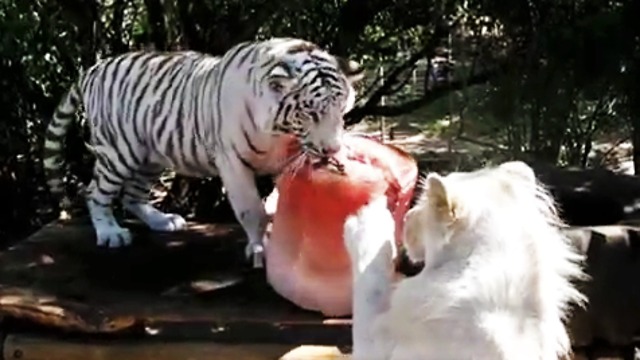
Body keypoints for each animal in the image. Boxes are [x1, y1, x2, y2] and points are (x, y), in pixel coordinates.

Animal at [43, 37, 364, 268]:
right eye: (310, 113)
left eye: (342, 110)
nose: (332, 148)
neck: (280, 134)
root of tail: (94, 69)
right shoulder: (232, 161)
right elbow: (252, 211)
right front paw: (260, 249)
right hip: (119, 152)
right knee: (95, 192)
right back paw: (110, 233)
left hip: (151, 155)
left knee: (132, 195)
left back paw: (163, 221)